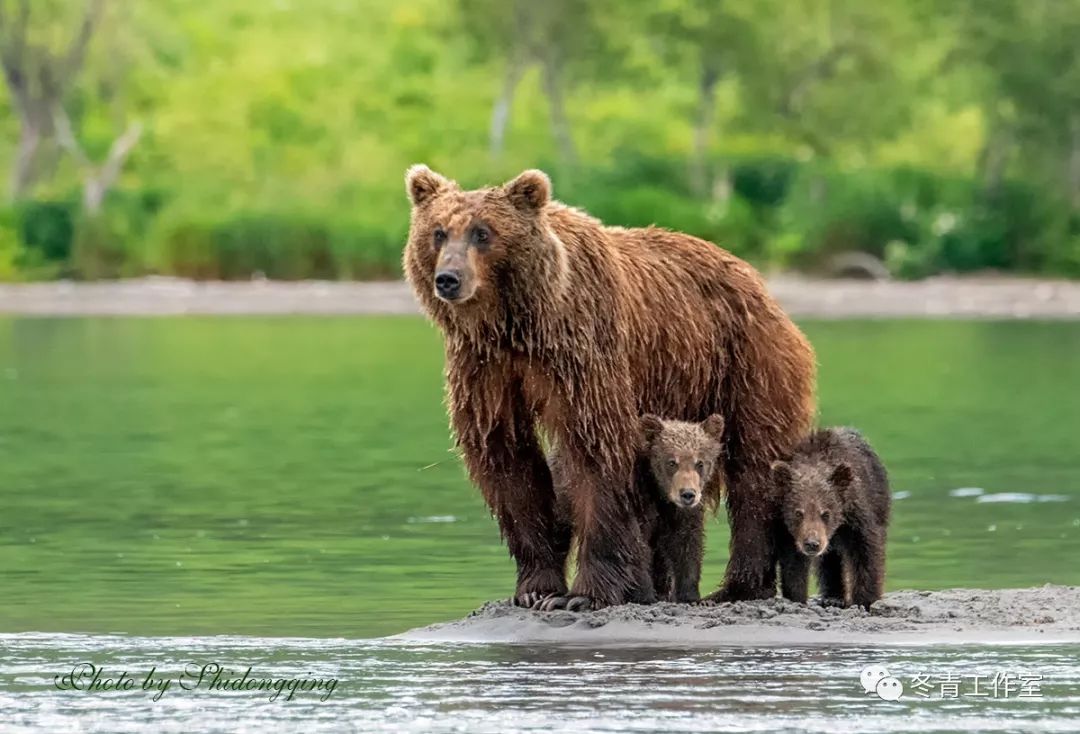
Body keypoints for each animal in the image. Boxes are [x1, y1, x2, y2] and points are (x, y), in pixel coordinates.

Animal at [406, 165, 816, 608]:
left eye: (483, 232)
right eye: (438, 232)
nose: (448, 279)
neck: (519, 324)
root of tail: (758, 283)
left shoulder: (583, 353)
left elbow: (597, 450)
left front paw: (583, 594)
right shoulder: (486, 370)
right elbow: (506, 458)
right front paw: (536, 587)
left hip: (748, 363)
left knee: (754, 468)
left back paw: (738, 586)